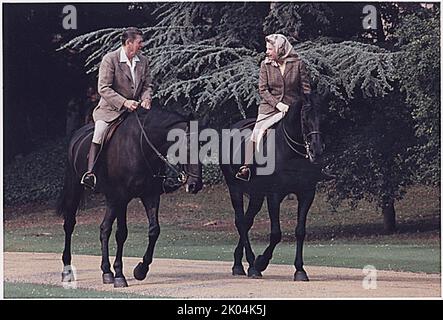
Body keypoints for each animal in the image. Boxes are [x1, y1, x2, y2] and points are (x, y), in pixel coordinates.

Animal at [57, 107, 205, 288]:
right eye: (188, 148)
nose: (195, 185)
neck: (141, 147)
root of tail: (78, 134)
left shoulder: (149, 196)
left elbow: (154, 230)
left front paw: (140, 270)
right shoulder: (122, 197)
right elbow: (121, 233)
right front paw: (120, 276)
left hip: (111, 199)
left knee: (104, 229)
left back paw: (106, 272)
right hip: (77, 189)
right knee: (70, 225)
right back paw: (67, 271)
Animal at [221, 96, 326, 282]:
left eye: (323, 117)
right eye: (304, 118)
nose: (317, 151)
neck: (293, 153)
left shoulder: (307, 194)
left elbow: (300, 231)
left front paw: (300, 270)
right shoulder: (274, 195)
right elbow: (276, 233)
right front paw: (261, 262)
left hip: (256, 195)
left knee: (247, 222)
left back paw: (239, 264)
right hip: (235, 189)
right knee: (240, 221)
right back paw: (251, 264)